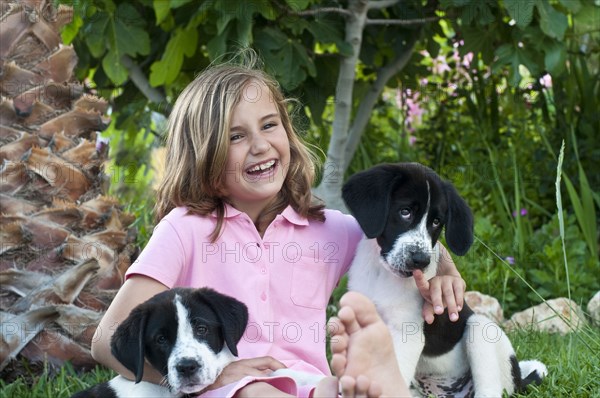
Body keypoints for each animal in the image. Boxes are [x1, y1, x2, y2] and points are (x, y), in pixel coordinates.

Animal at [342, 162, 544, 398]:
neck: (382, 274)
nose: (421, 260)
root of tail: (518, 379)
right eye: (405, 212)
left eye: (437, 222)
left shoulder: (406, 335)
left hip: (480, 327)